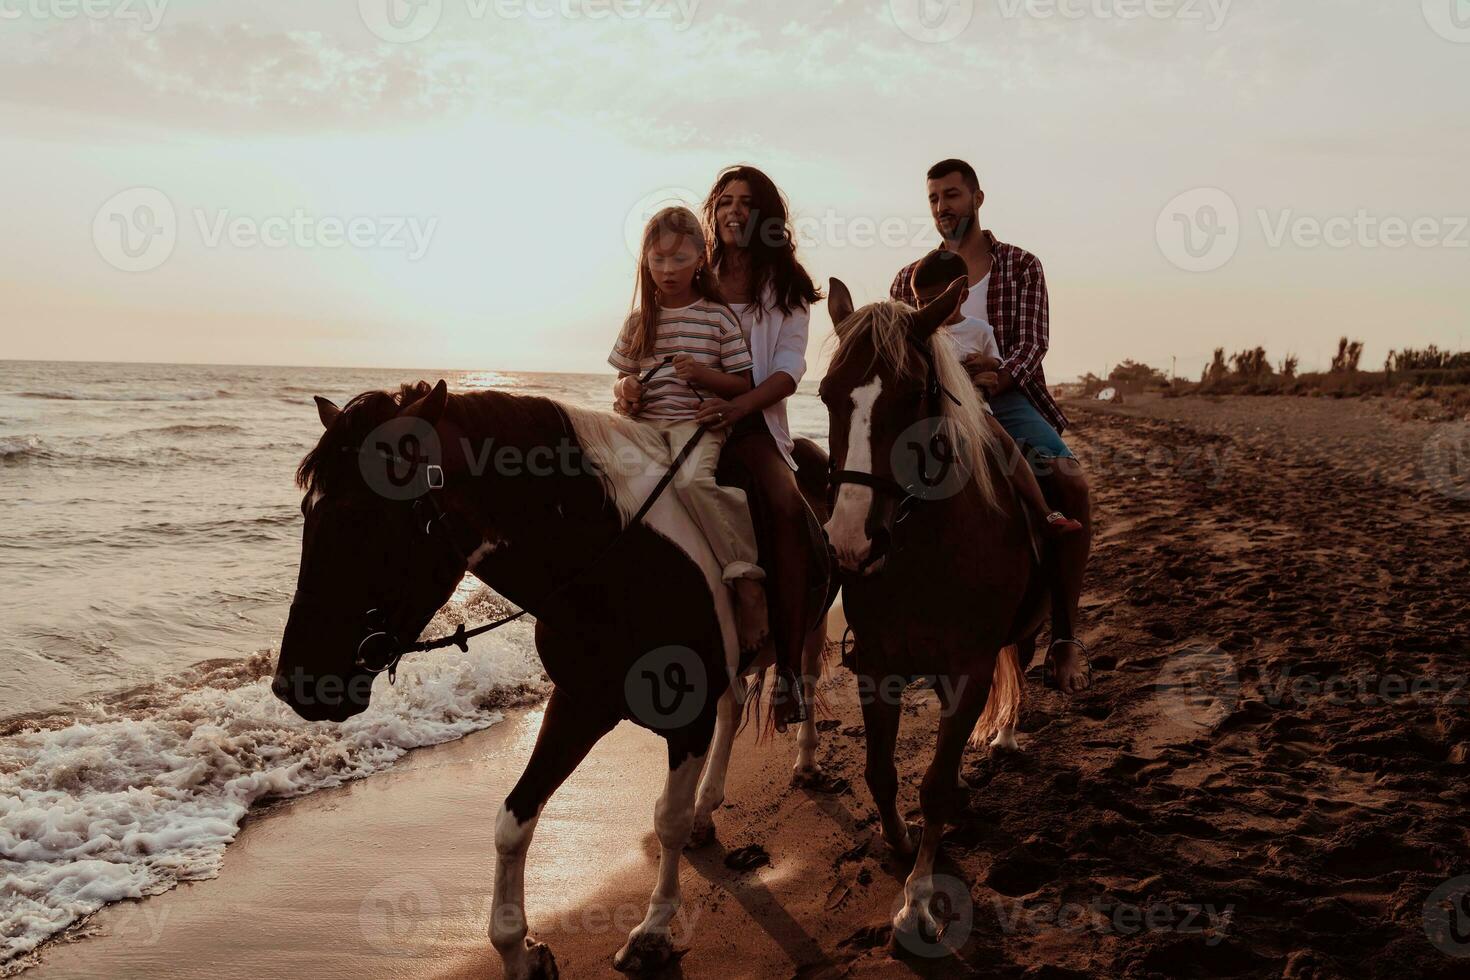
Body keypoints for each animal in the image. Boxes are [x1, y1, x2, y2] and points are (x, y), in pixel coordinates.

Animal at [273, 382, 829, 980]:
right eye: (306, 512)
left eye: (360, 519)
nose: (293, 686)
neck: (615, 567)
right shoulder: (579, 704)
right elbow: (514, 819)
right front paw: (520, 952)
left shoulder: (687, 719)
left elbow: (668, 820)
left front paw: (652, 932)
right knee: (735, 705)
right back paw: (711, 809)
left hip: (813, 624)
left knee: (807, 680)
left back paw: (806, 763)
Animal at [823, 279, 1052, 952]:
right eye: (825, 397)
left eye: (909, 398)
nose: (850, 542)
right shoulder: (878, 668)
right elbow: (880, 772)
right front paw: (897, 842)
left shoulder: (968, 673)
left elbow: (933, 786)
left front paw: (918, 902)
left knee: (1020, 666)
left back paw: (1004, 738)